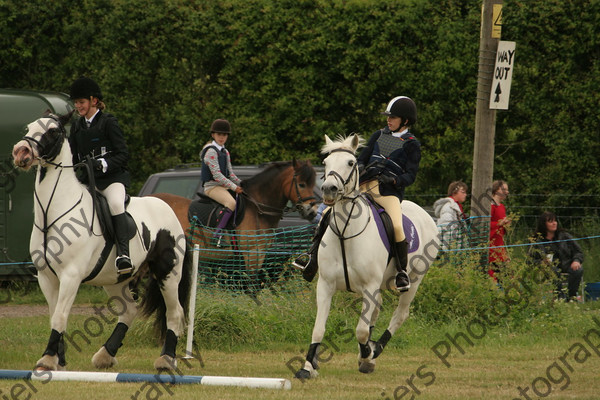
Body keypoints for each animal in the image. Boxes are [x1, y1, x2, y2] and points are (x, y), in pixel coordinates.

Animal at [12, 113, 192, 372]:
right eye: (29, 128)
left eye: (53, 131)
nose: (20, 152)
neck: (51, 213)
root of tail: (170, 210)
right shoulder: (46, 277)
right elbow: (55, 316)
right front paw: (59, 360)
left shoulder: (70, 275)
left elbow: (60, 316)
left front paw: (47, 360)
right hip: (116, 279)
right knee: (129, 312)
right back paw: (105, 355)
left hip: (168, 273)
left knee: (174, 313)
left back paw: (166, 360)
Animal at [150, 159, 318, 290]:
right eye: (302, 184)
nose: (312, 212)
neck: (258, 209)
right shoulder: (252, 254)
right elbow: (251, 284)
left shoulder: (260, 253)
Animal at [294, 134, 438, 378]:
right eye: (325, 163)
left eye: (350, 163)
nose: (329, 189)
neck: (345, 232)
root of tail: (427, 215)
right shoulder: (325, 284)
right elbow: (318, 328)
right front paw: (307, 367)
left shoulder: (369, 286)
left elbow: (361, 330)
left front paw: (367, 354)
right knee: (377, 309)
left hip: (415, 280)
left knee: (400, 315)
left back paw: (375, 350)